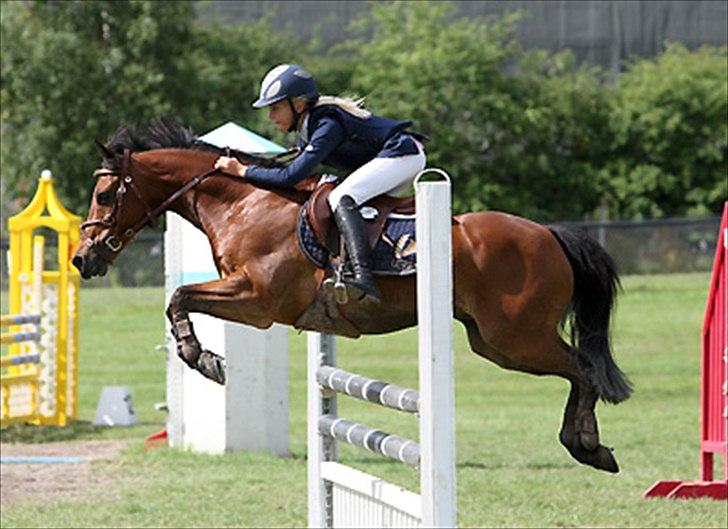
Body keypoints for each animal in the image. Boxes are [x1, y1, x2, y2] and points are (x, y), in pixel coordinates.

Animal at [72, 119, 632, 473]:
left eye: (104, 194)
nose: (82, 259)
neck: (244, 203)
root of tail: (549, 234)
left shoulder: (258, 302)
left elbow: (180, 297)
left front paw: (203, 358)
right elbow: (178, 299)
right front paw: (203, 356)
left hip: (515, 337)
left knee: (582, 367)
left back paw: (587, 446)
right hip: (494, 343)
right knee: (577, 369)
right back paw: (587, 446)